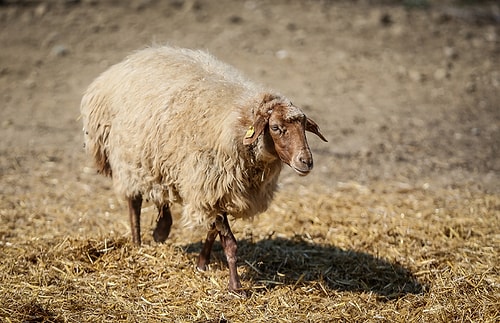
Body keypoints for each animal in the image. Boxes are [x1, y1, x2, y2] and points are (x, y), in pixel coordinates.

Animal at [79, 45, 326, 296]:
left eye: (304, 128)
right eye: (276, 128)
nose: (306, 161)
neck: (239, 124)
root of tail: (120, 67)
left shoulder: (217, 190)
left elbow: (212, 231)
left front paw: (202, 263)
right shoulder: (210, 186)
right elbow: (229, 243)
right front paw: (236, 287)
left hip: (158, 160)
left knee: (161, 194)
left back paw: (161, 229)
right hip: (129, 158)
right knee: (134, 203)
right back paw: (138, 244)